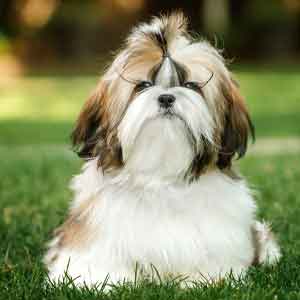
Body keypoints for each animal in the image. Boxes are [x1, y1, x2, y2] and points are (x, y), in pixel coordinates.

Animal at [44, 12, 282, 288]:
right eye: (143, 85)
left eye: (191, 85)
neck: (161, 175)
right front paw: (96, 279)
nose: (167, 97)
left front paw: (207, 278)